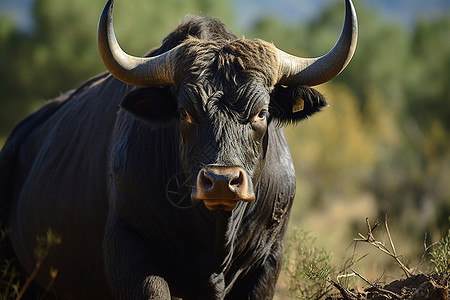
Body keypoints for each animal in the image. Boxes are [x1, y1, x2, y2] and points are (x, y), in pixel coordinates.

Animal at [0, 0, 358, 298]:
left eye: (261, 112)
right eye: (184, 112)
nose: (221, 182)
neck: (216, 236)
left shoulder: (268, 261)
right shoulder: (127, 250)